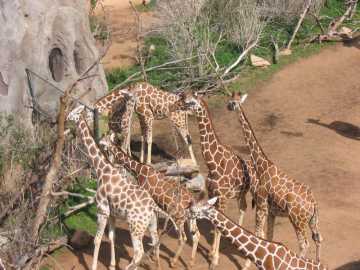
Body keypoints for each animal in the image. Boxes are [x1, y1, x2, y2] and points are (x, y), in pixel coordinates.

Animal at [67, 105, 172, 270]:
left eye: (75, 111)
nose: (66, 117)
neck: (102, 170)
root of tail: (153, 206)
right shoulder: (112, 213)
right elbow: (112, 237)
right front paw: (111, 265)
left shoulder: (102, 210)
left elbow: (97, 240)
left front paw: (94, 266)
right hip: (151, 223)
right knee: (155, 243)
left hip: (135, 226)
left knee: (139, 253)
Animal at [100, 135, 201, 268]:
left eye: (103, 141)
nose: (99, 143)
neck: (138, 169)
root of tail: (191, 200)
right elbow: (155, 230)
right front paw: (153, 255)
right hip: (190, 217)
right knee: (196, 236)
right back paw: (191, 262)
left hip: (179, 218)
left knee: (183, 238)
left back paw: (173, 262)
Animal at [172, 92, 255, 268]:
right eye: (182, 97)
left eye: (190, 102)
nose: (175, 106)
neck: (214, 163)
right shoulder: (212, 194)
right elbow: (214, 223)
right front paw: (211, 252)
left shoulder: (222, 197)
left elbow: (218, 227)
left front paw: (214, 260)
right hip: (238, 194)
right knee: (242, 208)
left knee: (244, 209)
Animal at [228, 92, 324, 262]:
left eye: (232, 102)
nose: (227, 106)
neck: (262, 167)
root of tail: (313, 204)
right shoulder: (271, 211)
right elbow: (269, 236)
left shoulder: (261, 206)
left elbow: (258, 234)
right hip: (313, 220)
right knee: (318, 238)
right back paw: (317, 262)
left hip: (297, 220)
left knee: (304, 244)